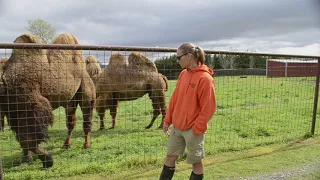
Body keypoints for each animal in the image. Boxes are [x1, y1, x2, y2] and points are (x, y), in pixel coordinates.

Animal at [0, 33, 95, 168]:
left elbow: (27, 139)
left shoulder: (33, 106)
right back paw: (66, 145)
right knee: (71, 122)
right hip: (69, 102)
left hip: (86, 91)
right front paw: (26, 160)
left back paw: (86, 145)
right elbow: (21, 137)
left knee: (87, 121)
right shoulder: (14, 112)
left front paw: (47, 160)